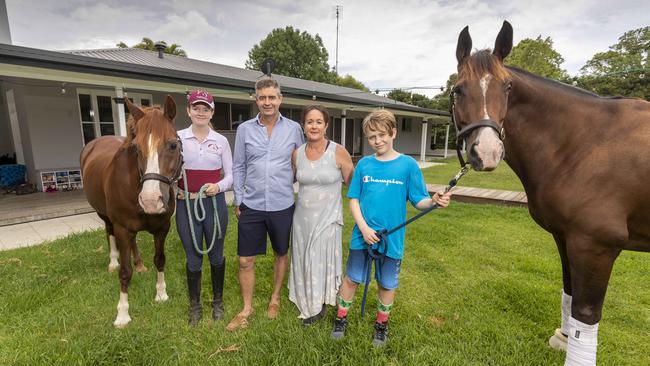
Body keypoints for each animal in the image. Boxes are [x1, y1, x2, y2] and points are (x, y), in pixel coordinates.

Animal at [81, 96, 182, 328]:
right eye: (136, 147)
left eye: (173, 145)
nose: (151, 201)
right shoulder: (122, 228)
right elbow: (125, 273)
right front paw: (122, 314)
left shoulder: (162, 228)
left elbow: (160, 259)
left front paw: (161, 294)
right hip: (106, 217)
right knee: (109, 233)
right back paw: (112, 261)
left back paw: (140, 265)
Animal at [450, 22, 648, 366]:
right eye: (458, 89)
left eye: (508, 88)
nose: (487, 153)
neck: (583, 143)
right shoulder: (567, 237)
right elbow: (570, 292)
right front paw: (563, 339)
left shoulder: (596, 245)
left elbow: (586, 314)